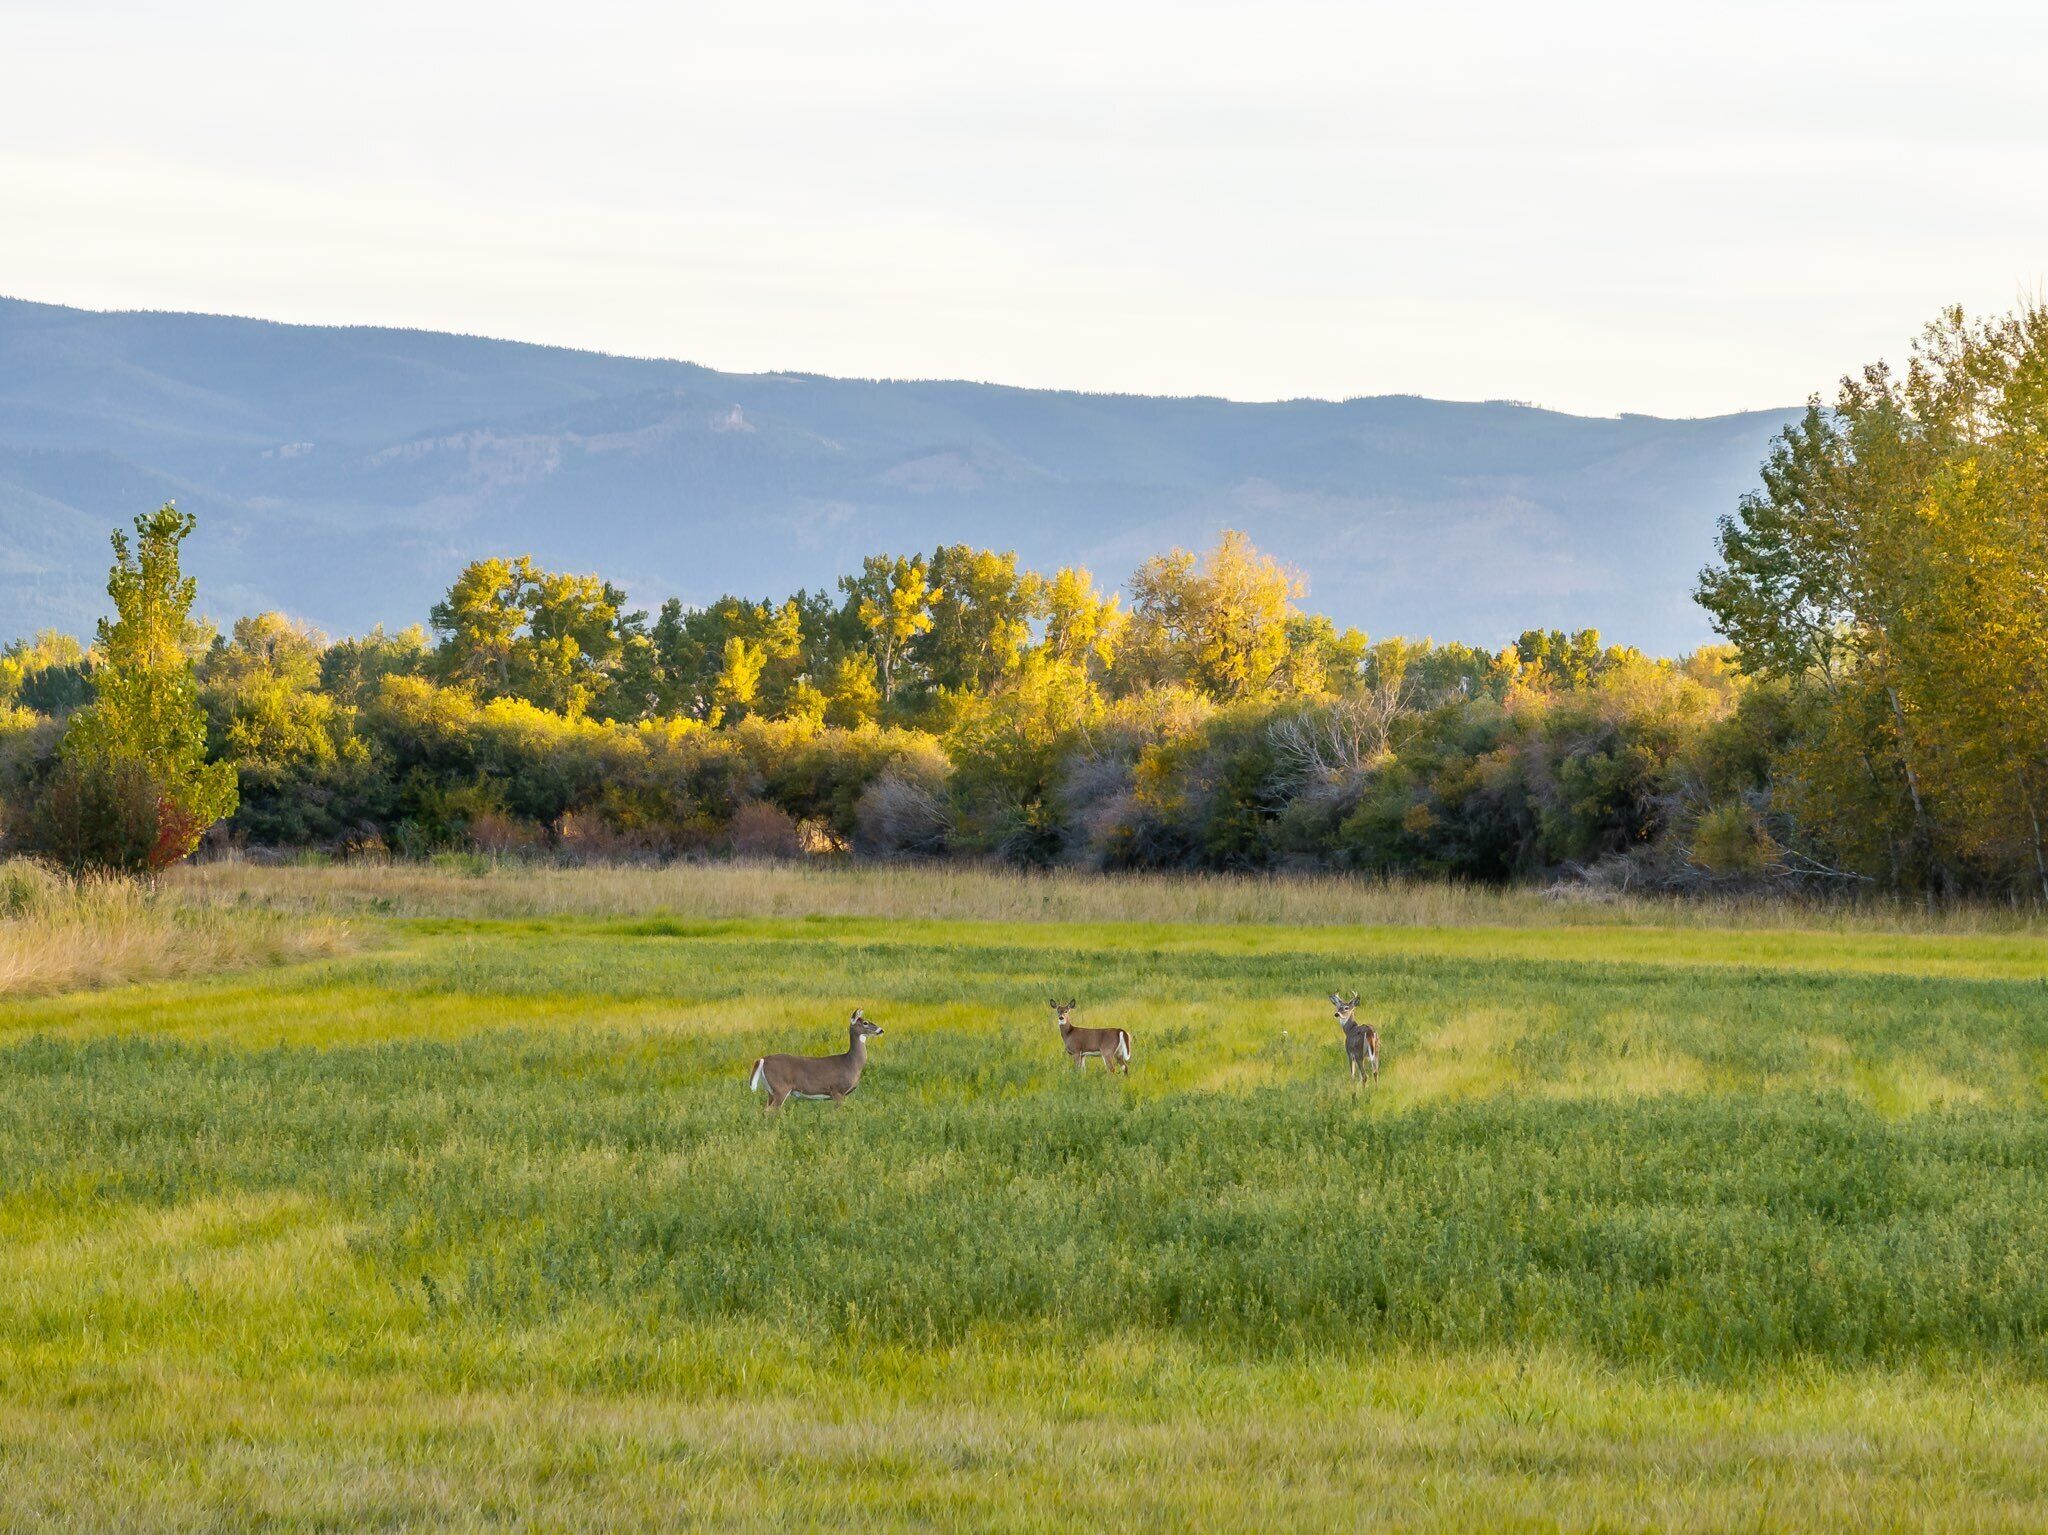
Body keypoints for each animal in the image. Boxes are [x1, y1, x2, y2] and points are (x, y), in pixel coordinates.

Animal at [748, 1009, 884, 1110]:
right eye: (865, 1022)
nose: (881, 1030)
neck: (851, 1063)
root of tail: (763, 1059)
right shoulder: (837, 1090)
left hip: (770, 1091)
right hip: (780, 1087)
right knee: (770, 1111)